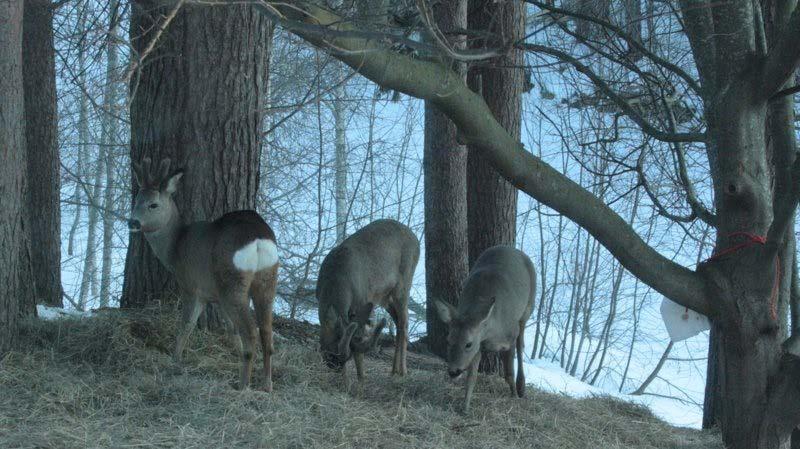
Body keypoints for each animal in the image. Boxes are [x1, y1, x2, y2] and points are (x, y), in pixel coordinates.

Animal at [126, 158, 280, 388]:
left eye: (153, 204)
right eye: (136, 200)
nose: (133, 222)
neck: (175, 246)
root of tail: (259, 240)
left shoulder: (191, 286)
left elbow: (186, 325)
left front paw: (175, 359)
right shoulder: (215, 296)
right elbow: (230, 329)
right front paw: (234, 353)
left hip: (233, 282)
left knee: (251, 331)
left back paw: (244, 385)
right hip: (267, 279)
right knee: (266, 333)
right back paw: (266, 385)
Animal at [318, 219, 422, 380]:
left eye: (345, 355)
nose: (335, 365)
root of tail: (416, 241)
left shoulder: (362, 300)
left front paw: (361, 377)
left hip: (404, 282)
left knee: (404, 322)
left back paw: (403, 371)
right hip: (385, 297)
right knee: (397, 320)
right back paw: (393, 370)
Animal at [434, 243, 536, 412]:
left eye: (468, 344)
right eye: (448, 341)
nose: (453, 371)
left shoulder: (510, 335)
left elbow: (509, 372)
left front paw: (514, 396)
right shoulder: (479, 345)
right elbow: (472, 377)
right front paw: (465, 407)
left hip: (528, 308)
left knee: (521, 345)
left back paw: (521, 387)